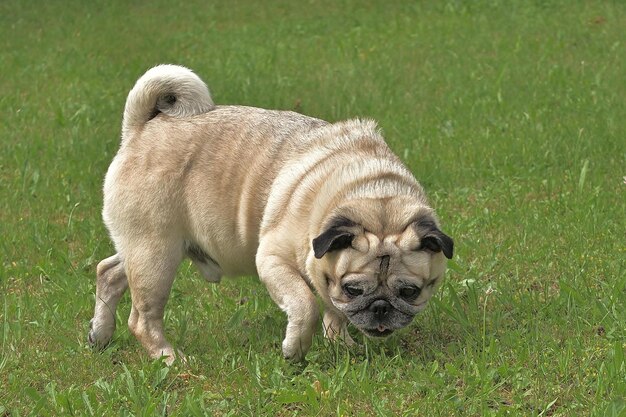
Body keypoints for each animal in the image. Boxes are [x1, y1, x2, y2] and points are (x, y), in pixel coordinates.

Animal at [88, 63, 450, 362]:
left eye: (410, 291)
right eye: (354, 289)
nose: (381, 308)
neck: (370, 191)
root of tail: (142, 128)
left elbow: (334, 311)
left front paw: (341, 345)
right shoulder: (273, 260)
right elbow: (306, 305)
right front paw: (295, 350)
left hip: (143, 247)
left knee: (109, 272)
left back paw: (99, 335)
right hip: (156, 254)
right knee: (142, 318)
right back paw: (169, 358)